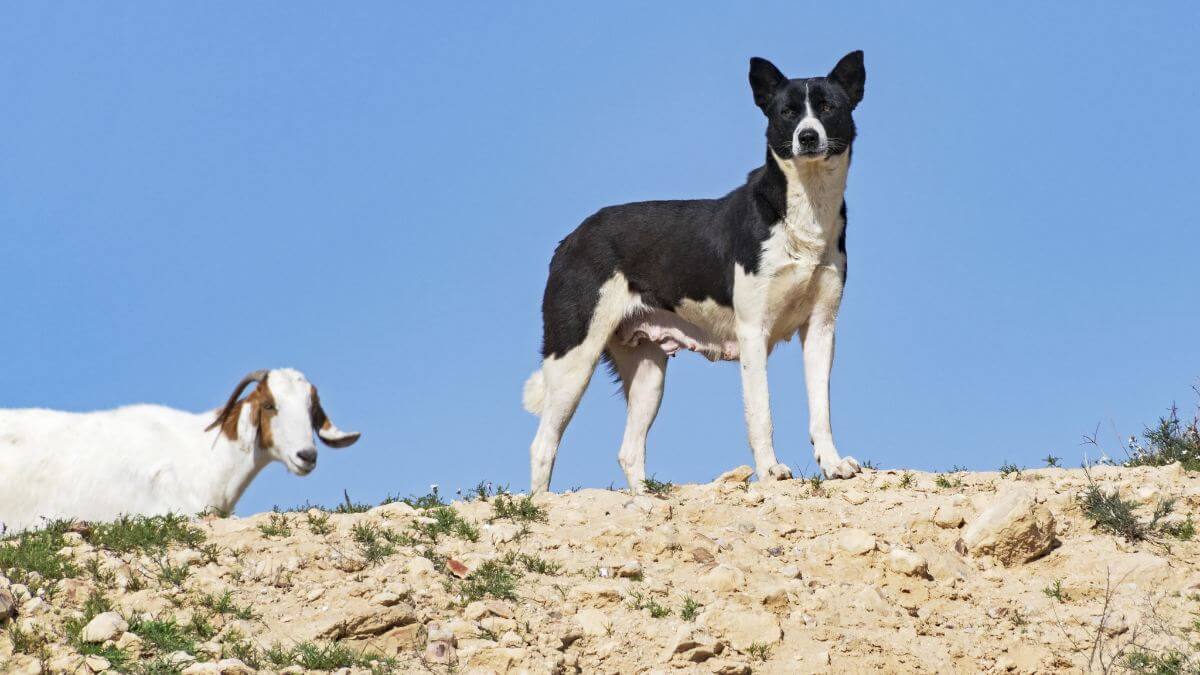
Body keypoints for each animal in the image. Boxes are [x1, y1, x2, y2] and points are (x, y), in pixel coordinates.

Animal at [523, 52, 864, 492]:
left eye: (827, 107)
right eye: (787, 112)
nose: (807, 137)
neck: (804, 213)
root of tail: (569, 240)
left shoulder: (821, 329)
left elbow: (821, 411)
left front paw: (834, 465)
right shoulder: (753, 332)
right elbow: (761, 413)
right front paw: (770, 471)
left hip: (648, 371)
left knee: (628, 450)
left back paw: (644, 500)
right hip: (573, 357)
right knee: (543, 443)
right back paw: (541, 500)